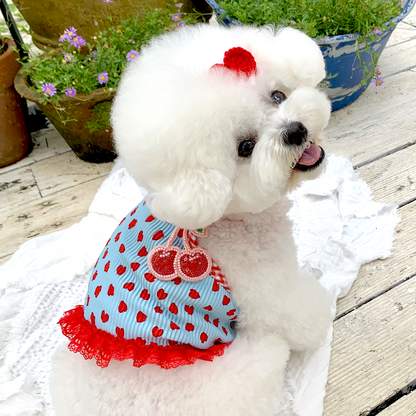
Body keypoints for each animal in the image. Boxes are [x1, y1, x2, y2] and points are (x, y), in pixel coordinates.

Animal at [50, 23, 332, 416]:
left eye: (277, 96)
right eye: (245, 148)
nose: (296, 131)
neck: (227, 216)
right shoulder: (266, 290)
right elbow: (298, 311)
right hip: (242, 373)